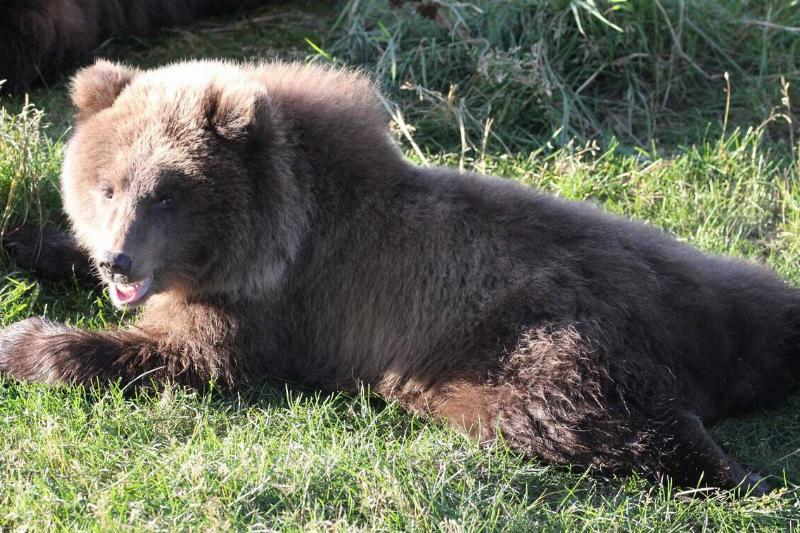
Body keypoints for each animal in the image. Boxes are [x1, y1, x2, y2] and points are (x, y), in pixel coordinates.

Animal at [3, 59, 800, 495]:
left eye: (167, 193)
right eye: (107, 186)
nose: (120, 261)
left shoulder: (280, 307)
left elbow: (181, 354)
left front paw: (25, 340)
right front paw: (27, 242)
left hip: (529, 343)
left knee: (584, 417)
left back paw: (740, 475)